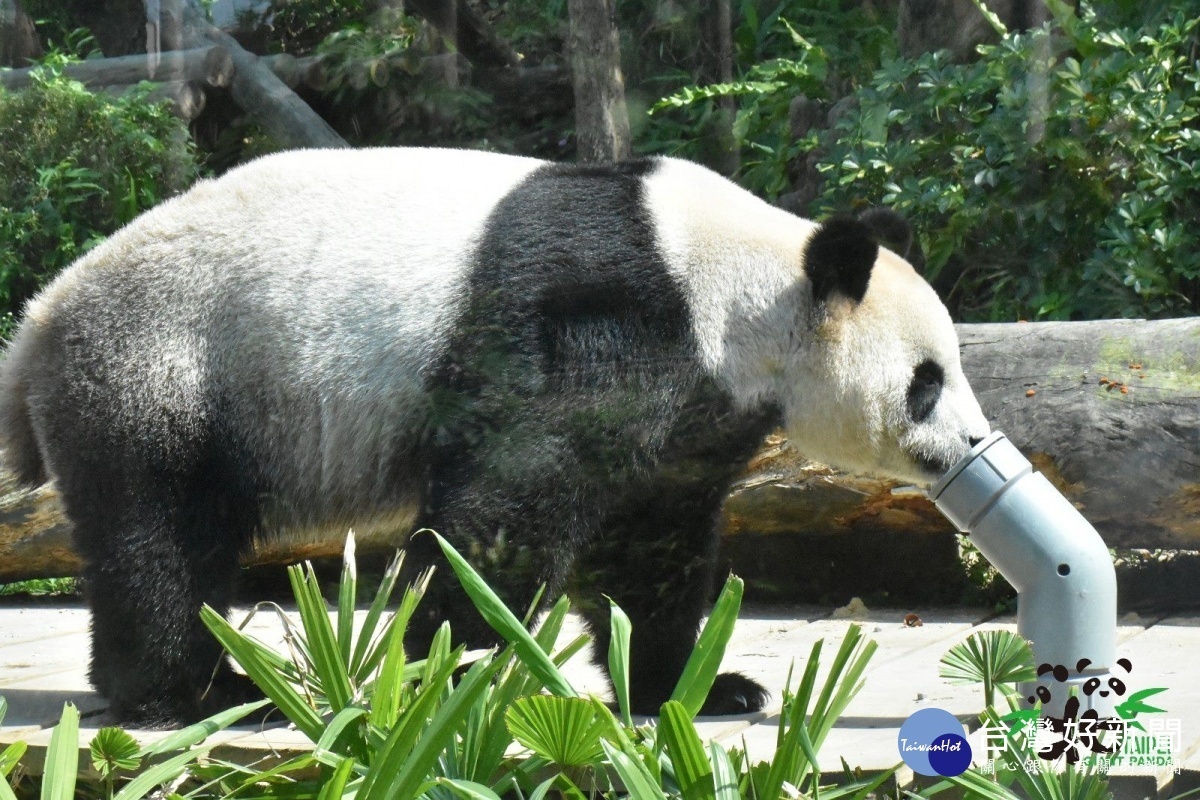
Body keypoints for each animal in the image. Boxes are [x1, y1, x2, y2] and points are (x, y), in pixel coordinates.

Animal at [0, 145, 984, 724]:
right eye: (928, 382)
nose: (970, 448)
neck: (739, 284)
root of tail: (38, 323)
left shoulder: (688, 417)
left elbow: (650, 543)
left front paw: (700, 686)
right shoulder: (604, 318)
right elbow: (512, 501)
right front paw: (446, 662)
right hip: (170, 364)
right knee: (160, 534)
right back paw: (192, 693)